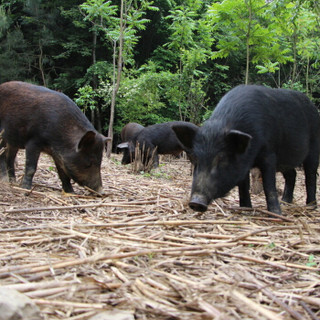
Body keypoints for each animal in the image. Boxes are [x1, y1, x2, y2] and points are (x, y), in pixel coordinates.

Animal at [172, 85, 320, 215]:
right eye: (195, 159)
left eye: (222, 159)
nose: (196, 202)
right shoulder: (243, 163)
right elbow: (243, 185)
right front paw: (245, 209)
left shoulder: (269, 154)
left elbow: (269, 185)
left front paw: (276, 214)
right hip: (285, 161)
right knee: (292, 174)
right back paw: (285, 202)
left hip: (313, 149)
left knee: (310, 175)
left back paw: (310, 206)